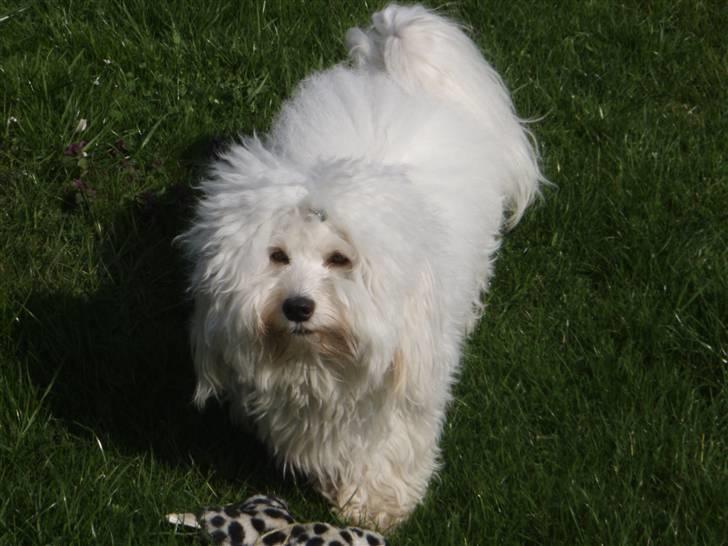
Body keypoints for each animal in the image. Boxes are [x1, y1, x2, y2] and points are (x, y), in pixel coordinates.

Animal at [180, 3, 544, 528]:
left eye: (339, 260)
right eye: (276, 256)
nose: (298, 306)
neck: (319, 361)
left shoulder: (408, 380)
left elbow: (392, 443)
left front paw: (375, 502)